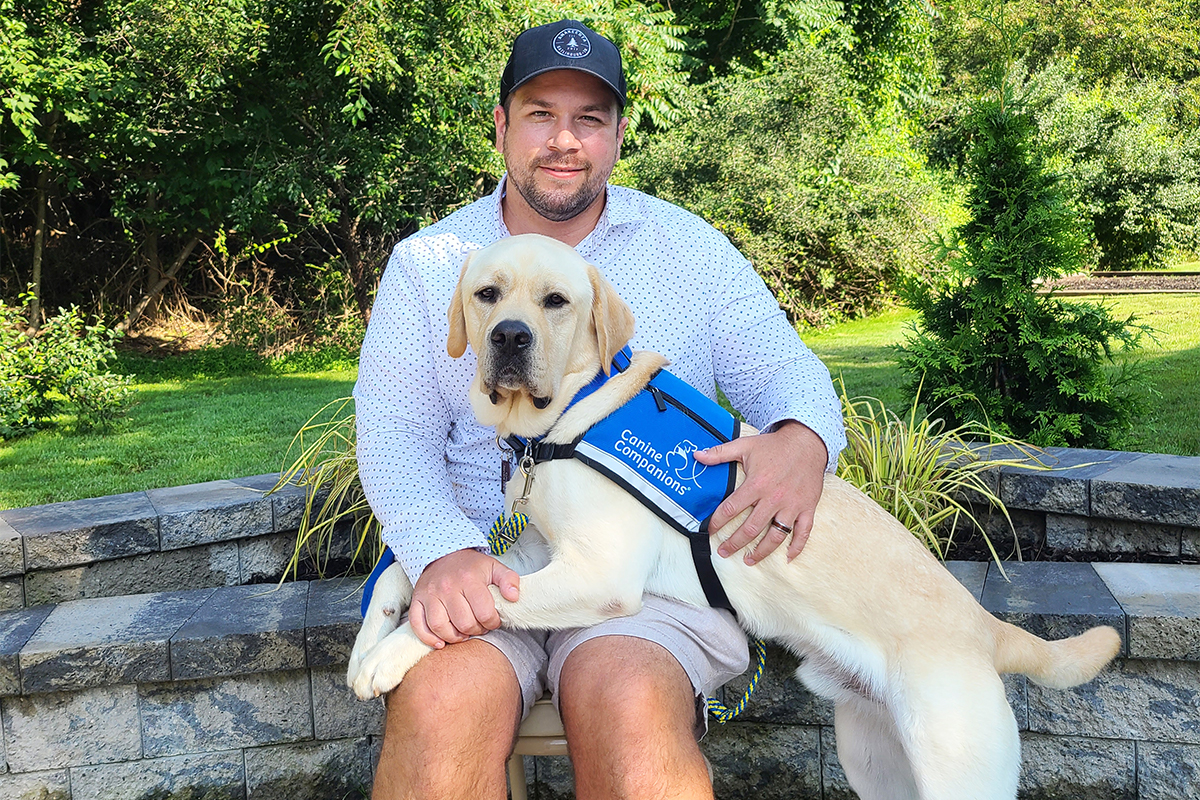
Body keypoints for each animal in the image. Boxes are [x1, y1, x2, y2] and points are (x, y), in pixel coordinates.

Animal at [350, 235, 1123, 800]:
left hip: (953, 768)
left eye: (556, 301)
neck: (571, 413)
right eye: (487, 293)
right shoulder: (540, 552)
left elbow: (472, 602)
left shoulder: (596, 573)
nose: (509, 337)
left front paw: (392, 653)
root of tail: (988, 628)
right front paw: (370, 639)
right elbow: (434, 577)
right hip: (874, 758)